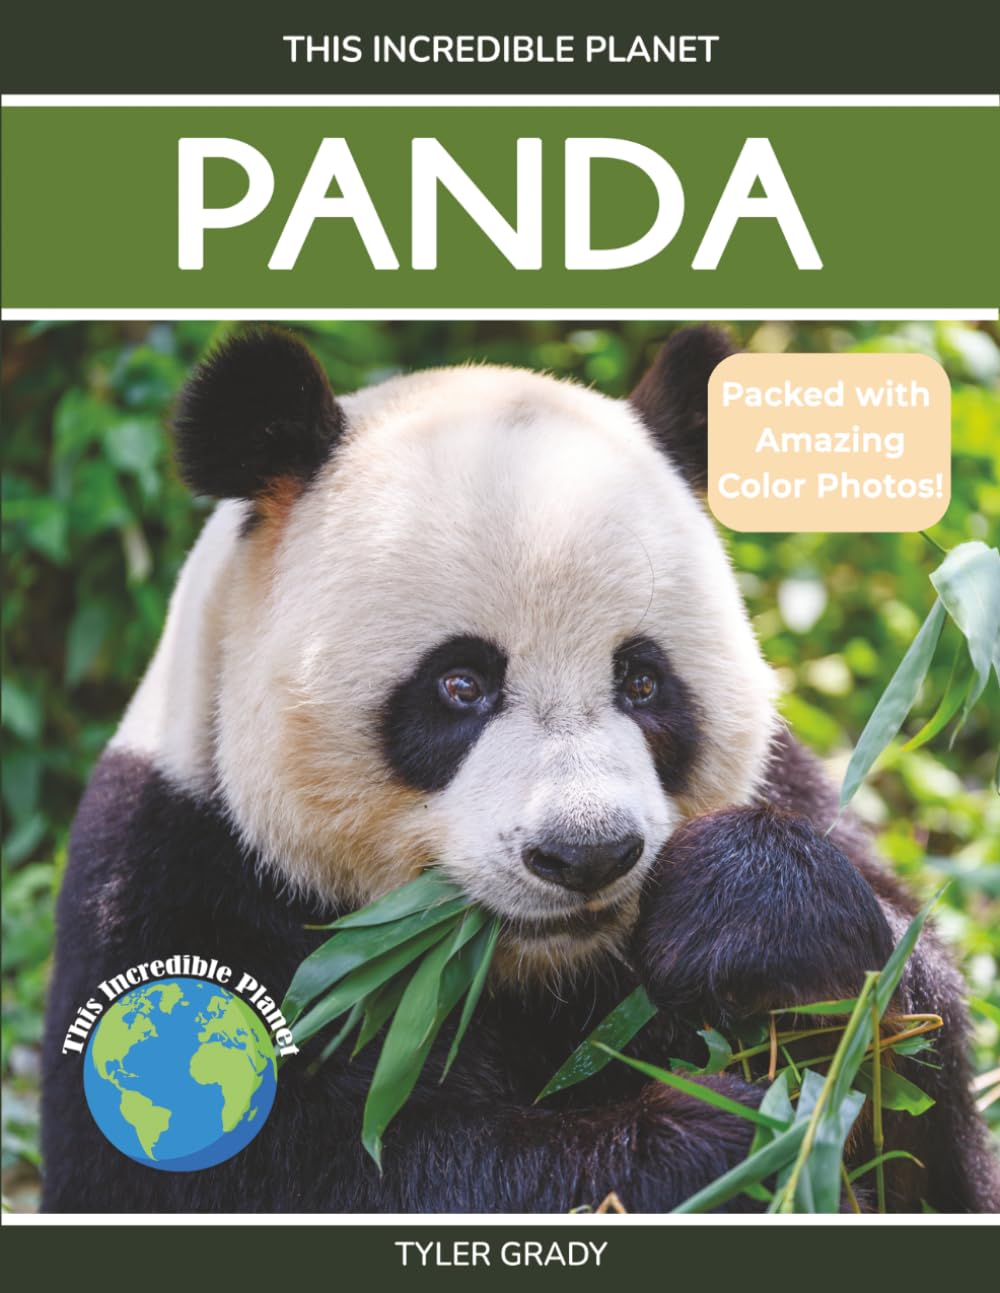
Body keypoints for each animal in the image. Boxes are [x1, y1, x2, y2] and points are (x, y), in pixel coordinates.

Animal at [41, 326, 999, 1213]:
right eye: (460, 684)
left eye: (642, 680)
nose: (587, 853)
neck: (539, 971)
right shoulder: (176, 878)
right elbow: (310, 1167)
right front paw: (720, 1150)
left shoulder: (790, 784)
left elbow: (920, 1105)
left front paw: (761, 933)